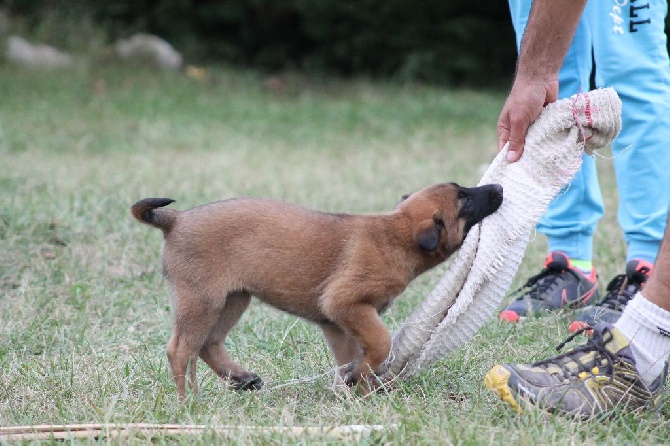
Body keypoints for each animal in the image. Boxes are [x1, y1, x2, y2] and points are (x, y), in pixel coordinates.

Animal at [133, 183, 504, 398]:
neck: (394, 234)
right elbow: (380, 342)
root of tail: (176, 219)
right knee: (180, 350)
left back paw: (241, 378)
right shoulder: (345, 304)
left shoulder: (338, 324)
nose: (499, 186)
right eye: (464, 199)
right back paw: (188, 401)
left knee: (208, 344)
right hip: (202, 301)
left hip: (233, 299)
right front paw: (362, 380)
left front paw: (358, 389)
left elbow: (351, 357)